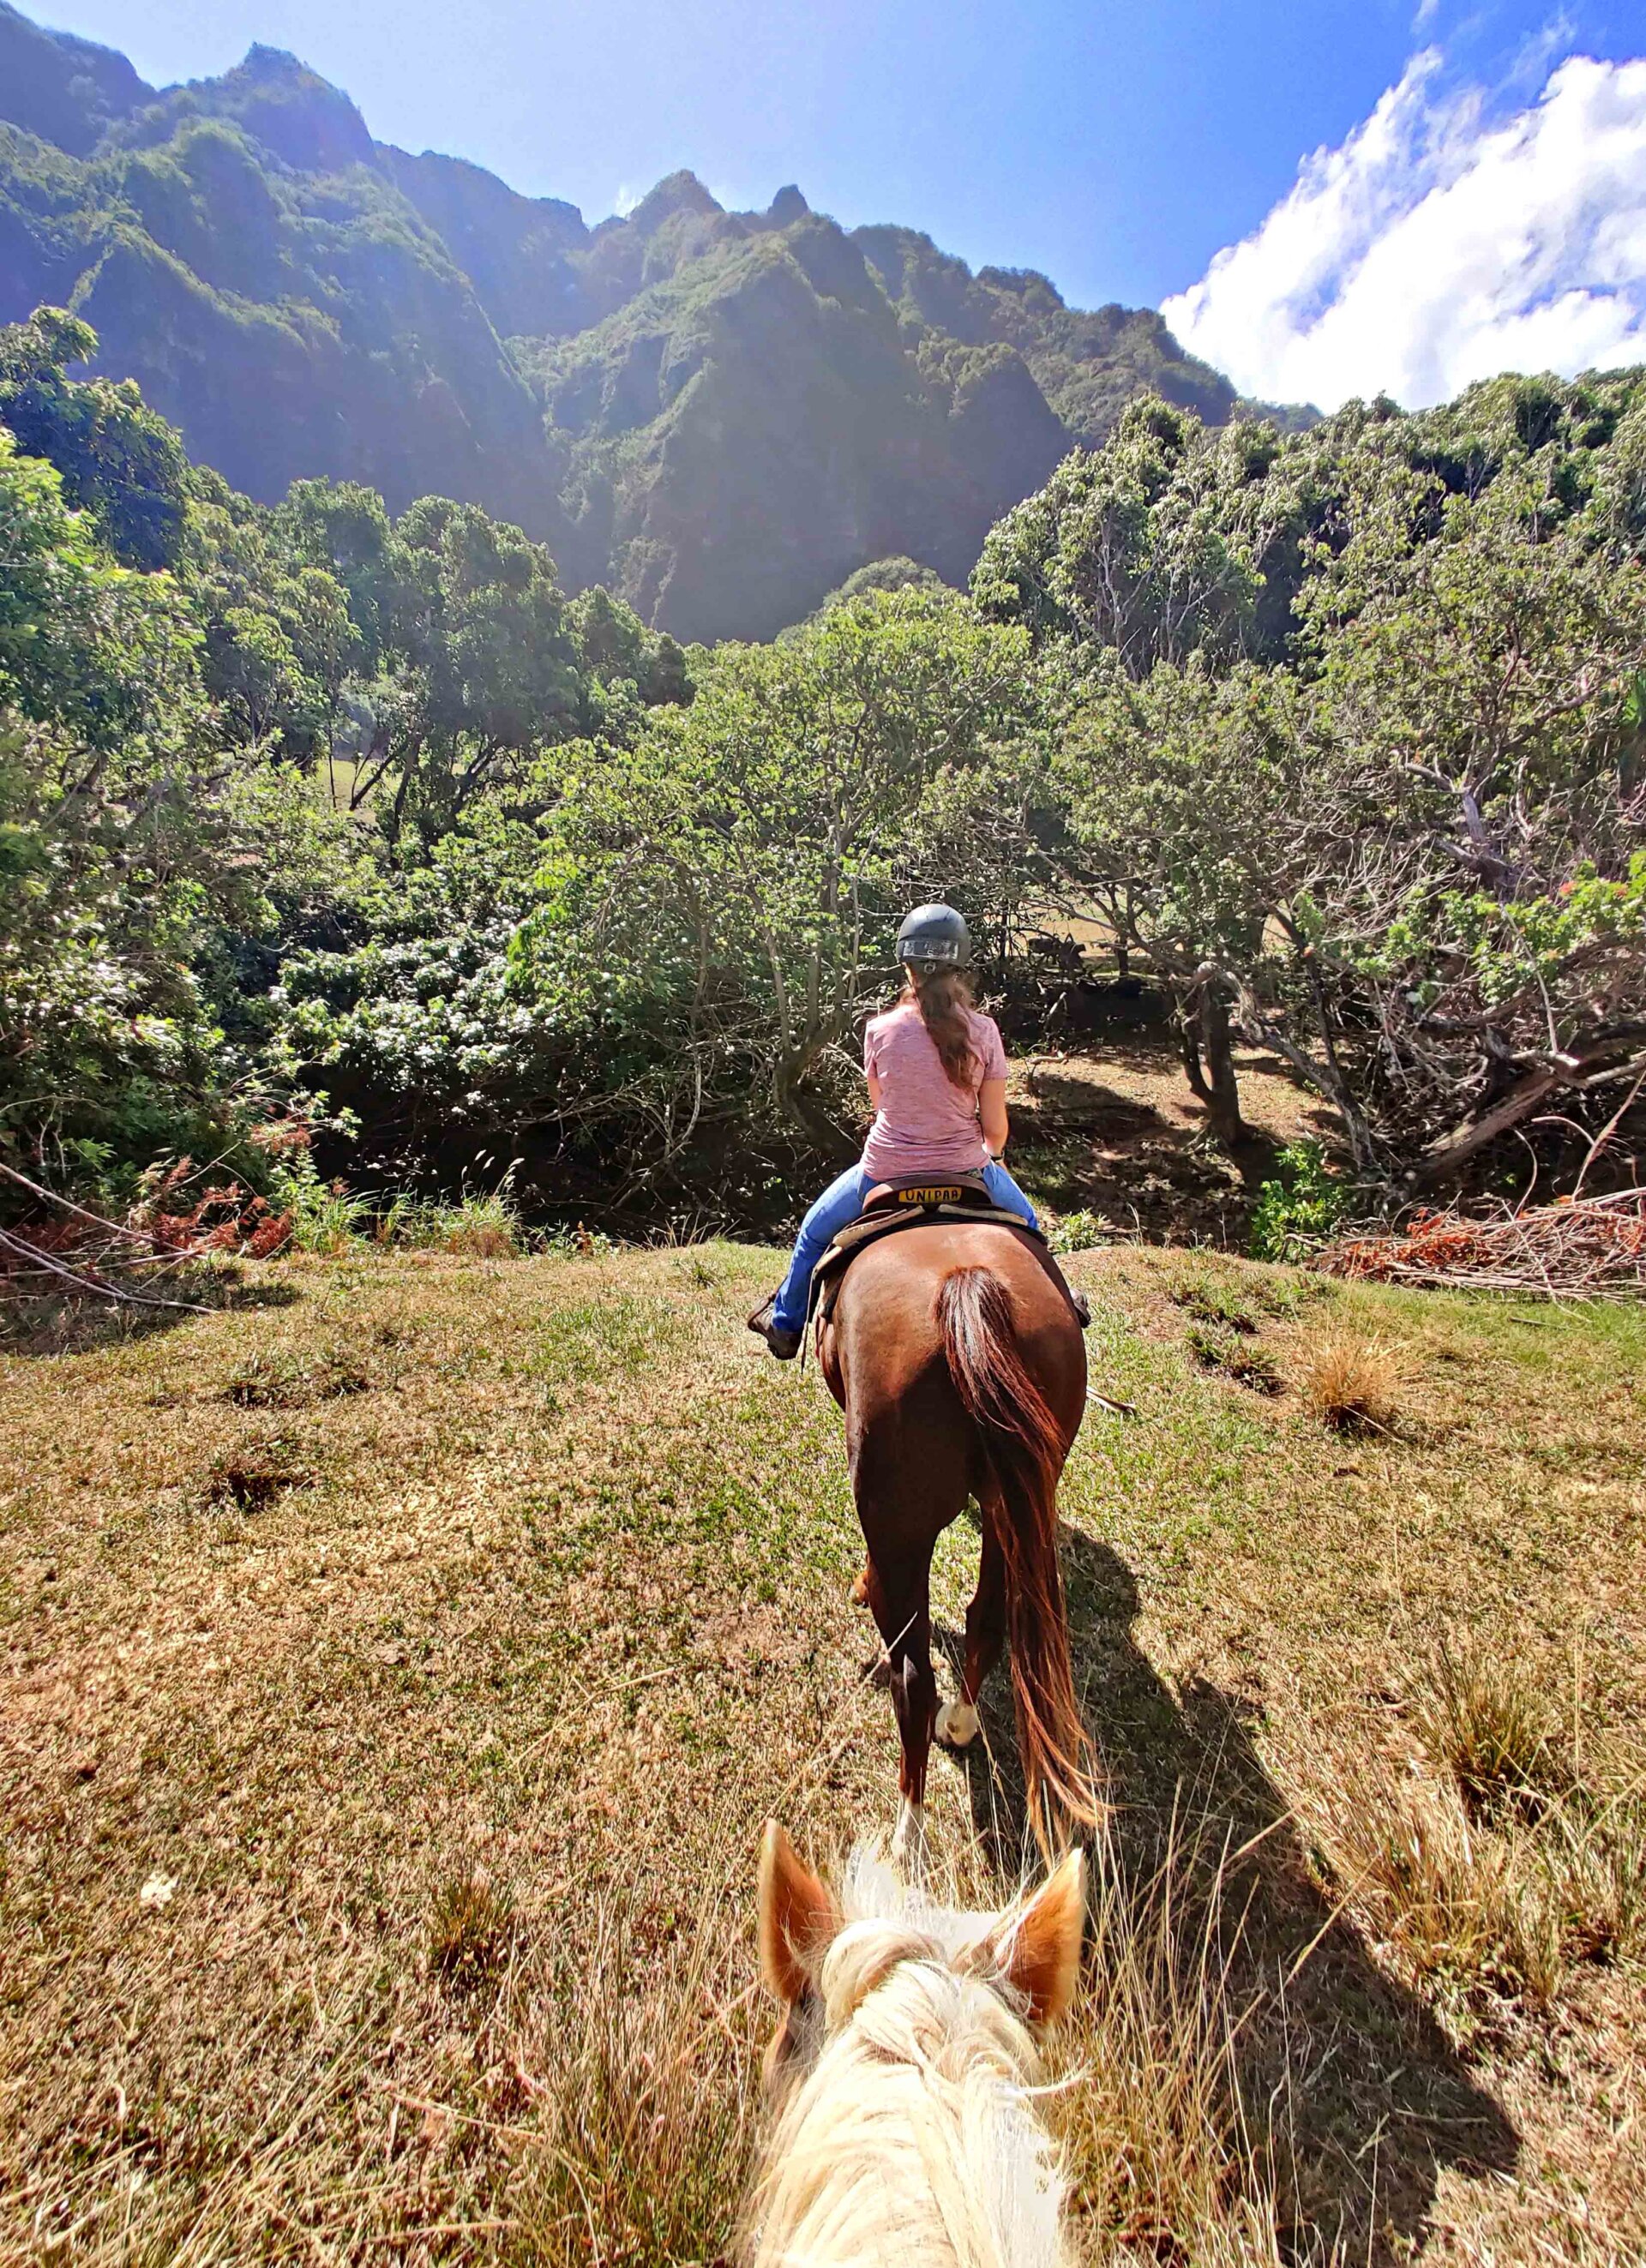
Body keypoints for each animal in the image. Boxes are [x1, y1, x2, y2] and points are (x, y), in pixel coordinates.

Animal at [820, 1224, 1102, 1859]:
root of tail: (966, 1288)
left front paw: (858, 1584)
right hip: (1011, 1501)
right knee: (987, 1619)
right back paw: (962, 1722)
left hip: (900, 1518)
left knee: (913, 1681)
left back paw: (907, 1831)